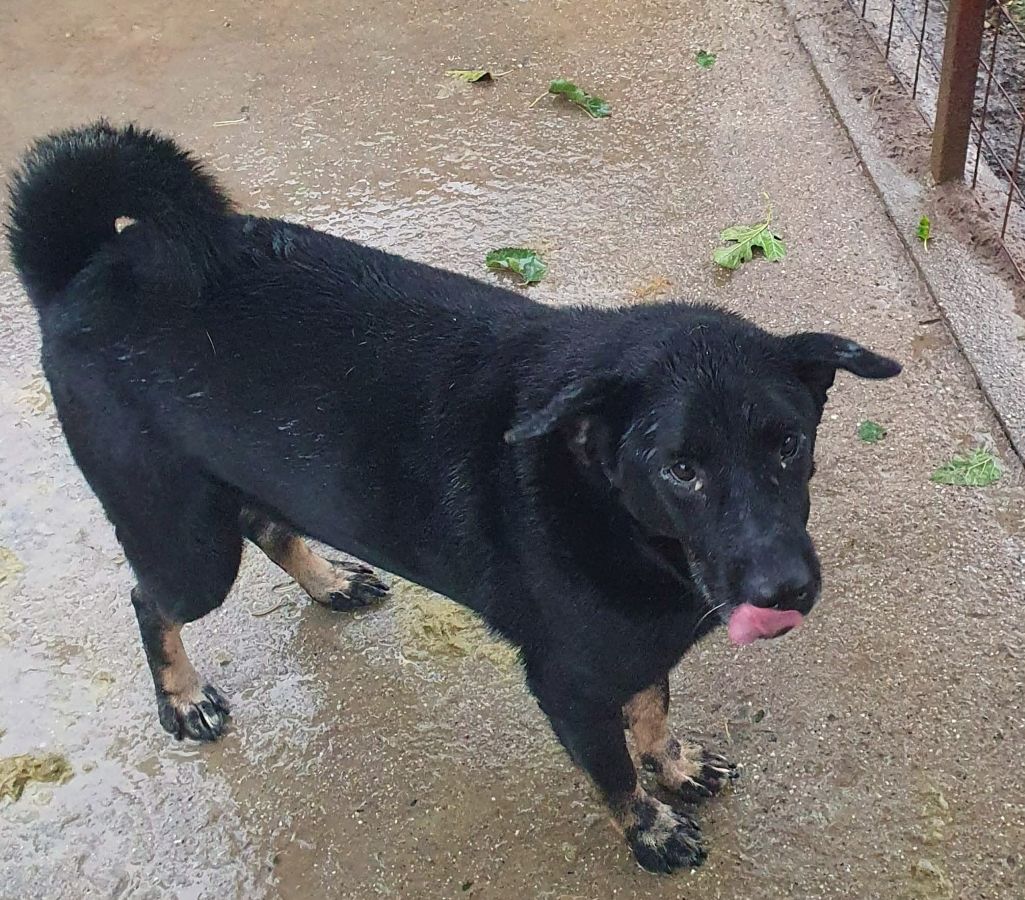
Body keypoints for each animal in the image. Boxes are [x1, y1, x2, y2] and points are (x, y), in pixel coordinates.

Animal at [7, 122, 900, 874]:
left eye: (788, 443)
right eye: (680, 469)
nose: (784, 591)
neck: (606, 506)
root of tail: (86, 270)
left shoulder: (640, 651)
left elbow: (650, 711)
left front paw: (672, 764)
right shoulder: (568, 685)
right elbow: (612, 770)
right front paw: (647, 828)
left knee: (262, 518)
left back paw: (328, 582)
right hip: (186, 543)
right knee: (149, 598)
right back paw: (183, 697)